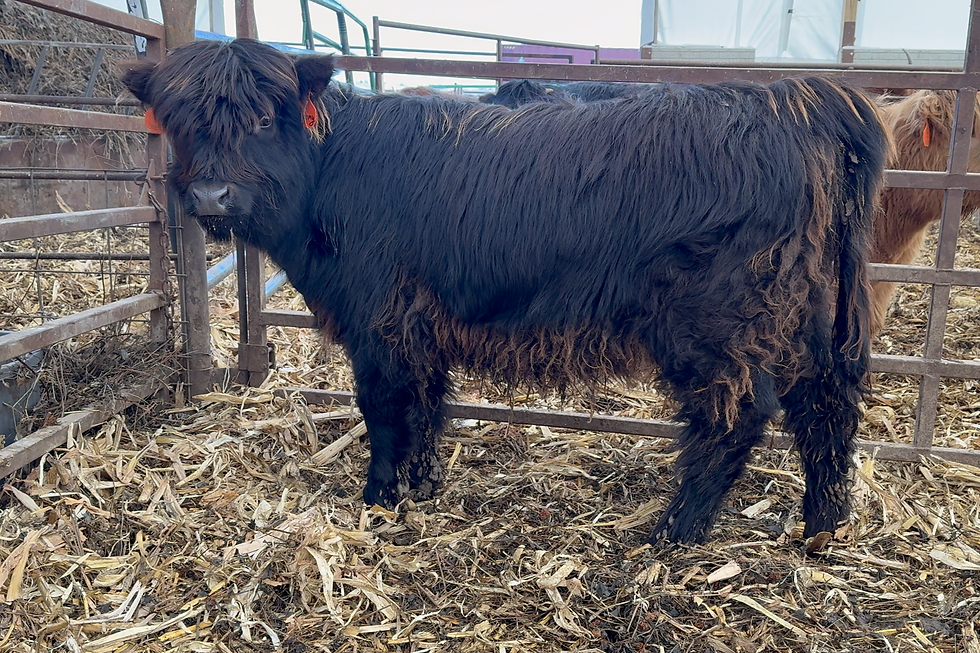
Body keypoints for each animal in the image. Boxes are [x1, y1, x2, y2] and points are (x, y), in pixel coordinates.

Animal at [122, 38, 891, 544]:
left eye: (259, 119)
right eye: (183, 124)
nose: (212, 194)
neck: (334, 169)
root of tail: (794, 100)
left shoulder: (379, 318)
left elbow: (385, 408)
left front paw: (378, 497)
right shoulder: (417, 321)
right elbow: (426, 403)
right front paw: (422, 486)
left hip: (716, 322)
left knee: (738, 415)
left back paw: (674, 531)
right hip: (808, 311)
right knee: (825, 400)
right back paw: (822, 523)